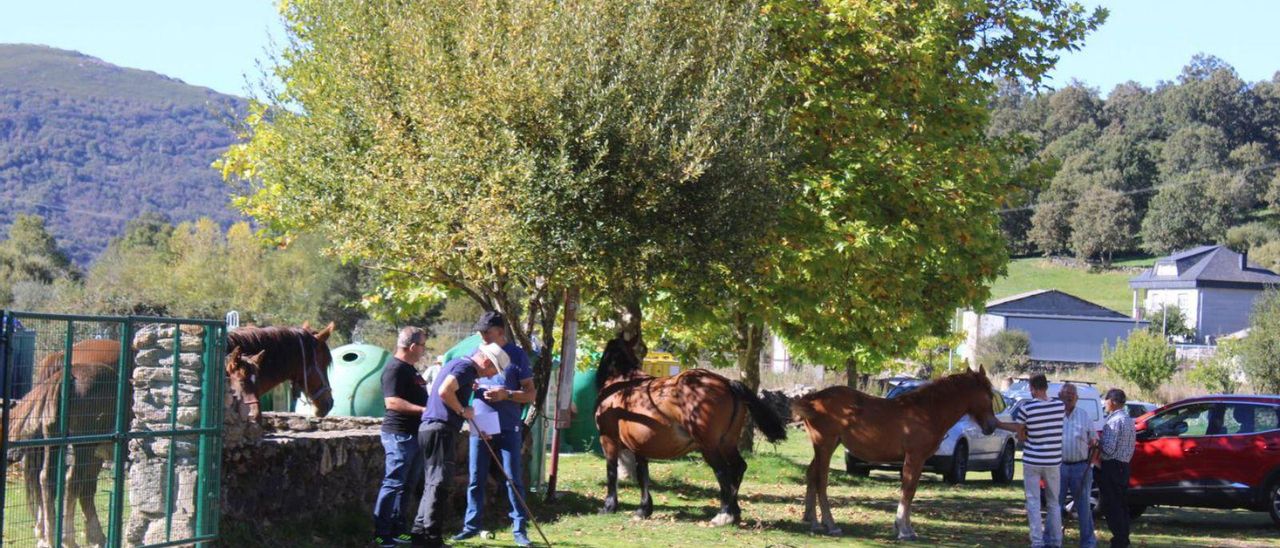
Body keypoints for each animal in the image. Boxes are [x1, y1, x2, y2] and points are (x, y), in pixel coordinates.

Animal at [8, 338, 122, 548]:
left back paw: (49, 537)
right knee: (73, 481)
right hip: (84, 446)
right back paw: (69, 539)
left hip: (57, 442)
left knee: (47, 479)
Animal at [591, 332, 788, 527]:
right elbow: (642, 474)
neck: (622, 383)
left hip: (709, 446)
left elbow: (612, 471)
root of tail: (727, 383)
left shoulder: (608, 439)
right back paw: (734, 512)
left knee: (722, 472)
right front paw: (643, 509)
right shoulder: (640, 445)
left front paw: (609, 506)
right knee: (738, 467)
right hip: (727, 443)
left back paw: (723, 514)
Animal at [783, 363, 1003, 540]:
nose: (991, 426)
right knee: (821, 481)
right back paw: (831, 525)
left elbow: (910, 491)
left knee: (811, 475)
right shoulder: (914, 457)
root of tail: (813, 399)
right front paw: (904, 530)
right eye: (989, 395)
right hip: (825, 445)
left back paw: (813, 521)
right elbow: (908, 490)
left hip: (824, 447)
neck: (926, 412)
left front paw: (906, 528)